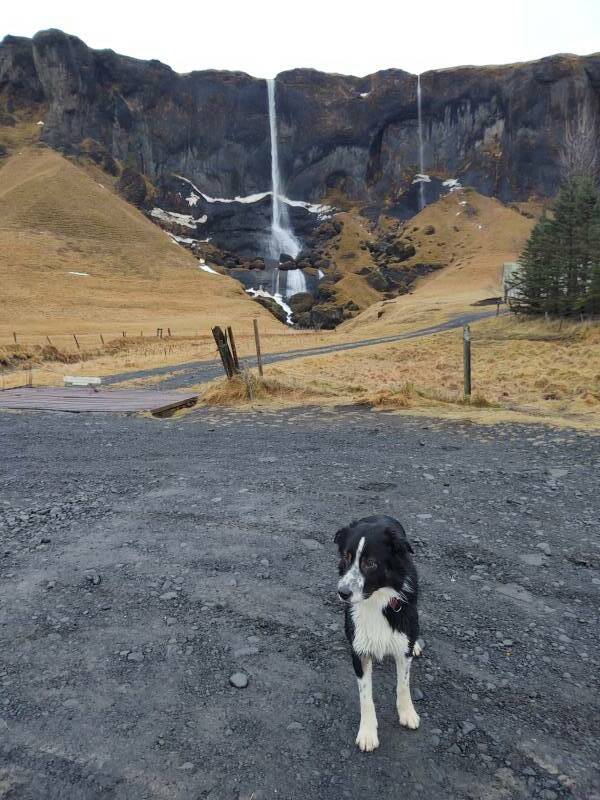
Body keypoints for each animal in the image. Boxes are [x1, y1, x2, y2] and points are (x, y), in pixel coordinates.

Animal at [336, 516, 420, 752]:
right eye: (346, 557)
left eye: (371, 563)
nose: (342, 593)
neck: (375, 600)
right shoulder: (359, 651)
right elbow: (365, 695)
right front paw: (367, 732)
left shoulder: (402, 646)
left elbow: (403, 685)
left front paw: (407, 712)